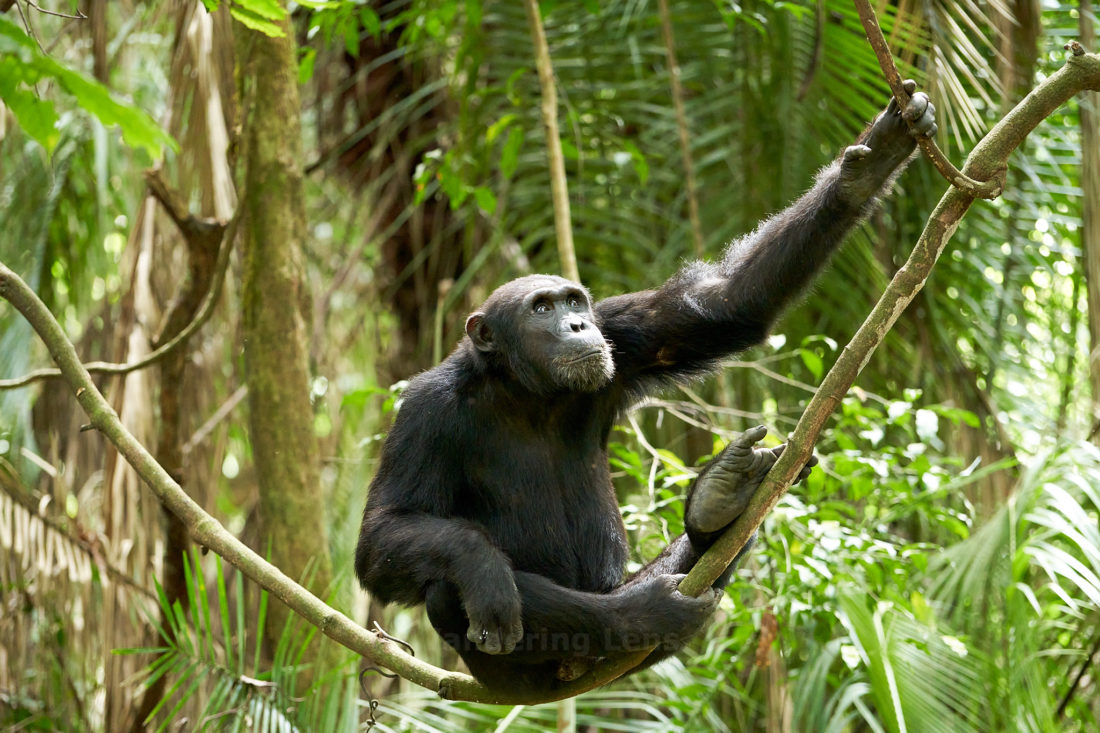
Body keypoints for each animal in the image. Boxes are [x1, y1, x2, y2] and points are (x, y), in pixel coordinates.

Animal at [358, 82, 937, 686]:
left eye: (574, 301)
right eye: (541, 308)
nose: (576, 325)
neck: (527, 390)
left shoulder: (622, 332)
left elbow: (729, 304)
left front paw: (871, 165)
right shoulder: (425, 409)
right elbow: (385, 534)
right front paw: (486, 570)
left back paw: (717, 503)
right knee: (448, 588)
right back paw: (638, 613)